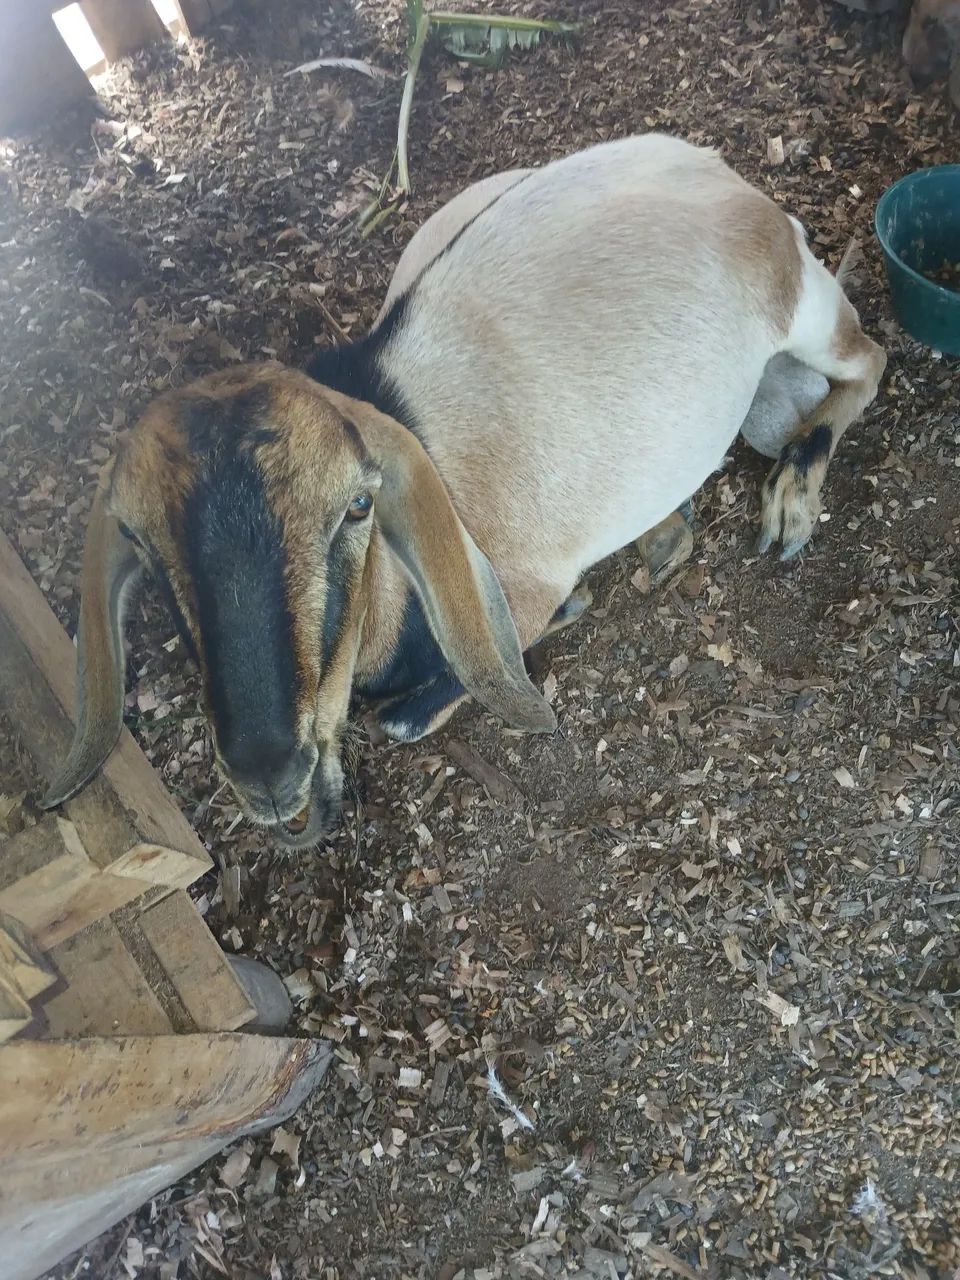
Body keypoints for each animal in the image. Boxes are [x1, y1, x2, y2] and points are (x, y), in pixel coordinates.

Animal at [43, 134, 886, 846]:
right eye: (145, 549)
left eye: (357, 506)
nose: (269, 778)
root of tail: (724, 176)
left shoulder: (526, 587)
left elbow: (403, 719)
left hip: (807, 319)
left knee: (870, 361)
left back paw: (792, 498)